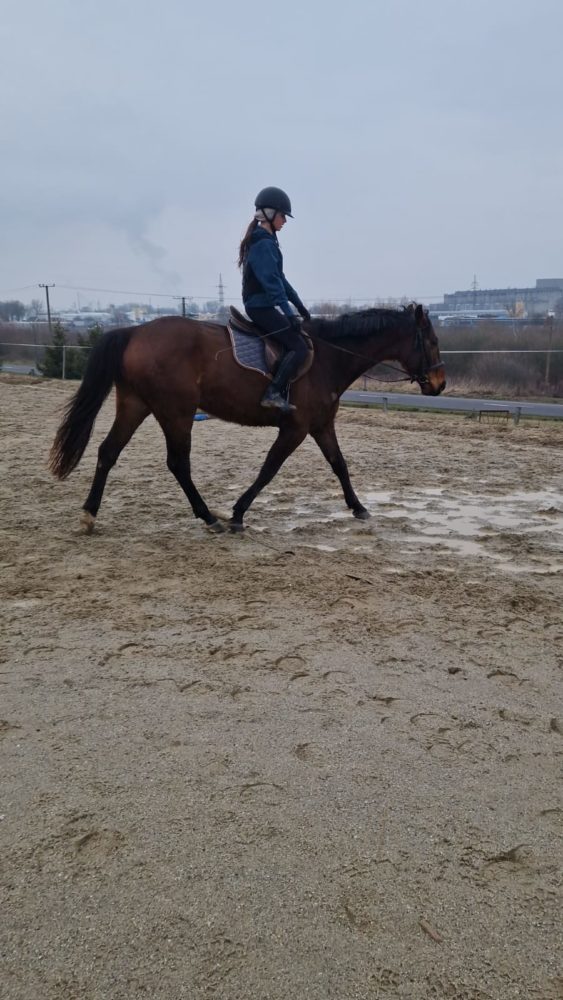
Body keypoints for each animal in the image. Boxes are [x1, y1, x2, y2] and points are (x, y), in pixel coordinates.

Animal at [49, 304, 445, 533]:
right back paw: (209, 517)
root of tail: (135, 331)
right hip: (176, 412)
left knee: (108, 452)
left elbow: (339, 464)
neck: (328, 357)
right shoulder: (296, 429)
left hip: (136, 404)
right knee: (178, 463)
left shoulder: (321, 426)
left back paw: (89, 515)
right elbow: (269, 469)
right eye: (432, 341)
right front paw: (238, 513)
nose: (440, 384)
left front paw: (359, 508)